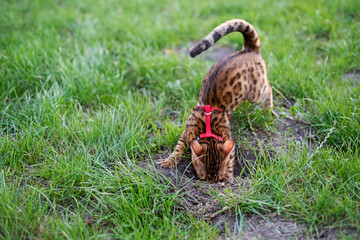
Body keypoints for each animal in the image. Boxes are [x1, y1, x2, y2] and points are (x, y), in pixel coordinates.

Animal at [159, 19, 274, 184]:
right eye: (203, 178)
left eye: (217, 178)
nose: (215, 183)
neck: (208, 131)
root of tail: (249, 50)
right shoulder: (186, 133)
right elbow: (178, 148)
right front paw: (169, 161)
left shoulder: (228, 141)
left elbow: (230, 160)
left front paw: (229, 178)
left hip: (256, 92)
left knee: (269, 88)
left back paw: (268, 110)